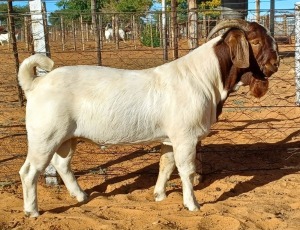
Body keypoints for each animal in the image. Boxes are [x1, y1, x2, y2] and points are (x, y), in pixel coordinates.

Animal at [18, 18, 278, 217]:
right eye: (255, 41)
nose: (275, 64)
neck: (204, 77)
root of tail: (36, 83)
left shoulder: (170, 138)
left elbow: (166, 165)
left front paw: (159, 195)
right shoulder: (185, 137)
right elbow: (186, 170)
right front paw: (192, 204)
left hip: (67, 137)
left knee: (61, 163)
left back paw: (81, 196)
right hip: (45, 136)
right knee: (29, 171)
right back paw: (32, 211)